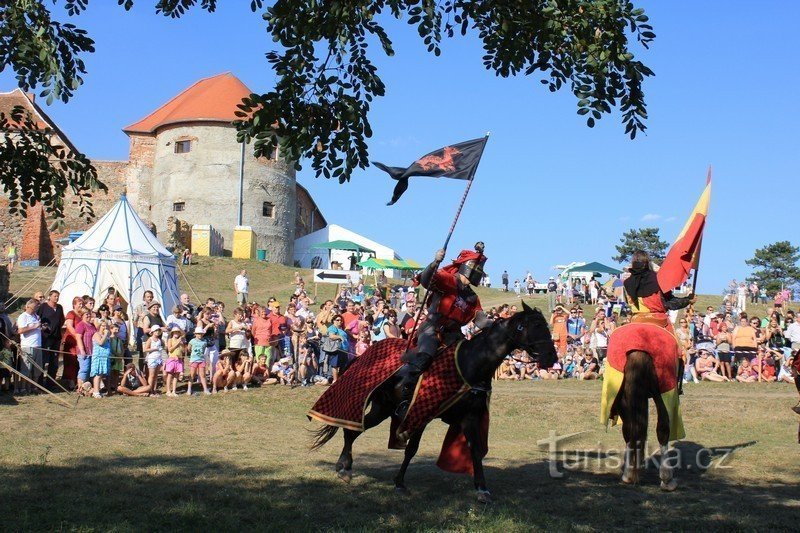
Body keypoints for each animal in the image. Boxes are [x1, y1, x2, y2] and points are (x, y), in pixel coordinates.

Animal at [308, 302, 556, 500]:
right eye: (535, 327)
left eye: (545, 326)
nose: (551, 357)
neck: (470, 362)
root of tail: (360, 357)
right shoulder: (420, 413)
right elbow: (411, 449)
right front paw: (399, 483)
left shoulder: (469, 417)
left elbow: (475, 450)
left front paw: (482, 489)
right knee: (352, 430)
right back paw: (344, 468)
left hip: (382, 408)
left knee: (354, 431)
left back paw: (344, 466)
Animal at [612, 350, 676, 490]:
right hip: (659, 391)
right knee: (663, 426)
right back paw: (667, 479)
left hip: (623, 396)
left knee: (629, 429)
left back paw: (628, 474)